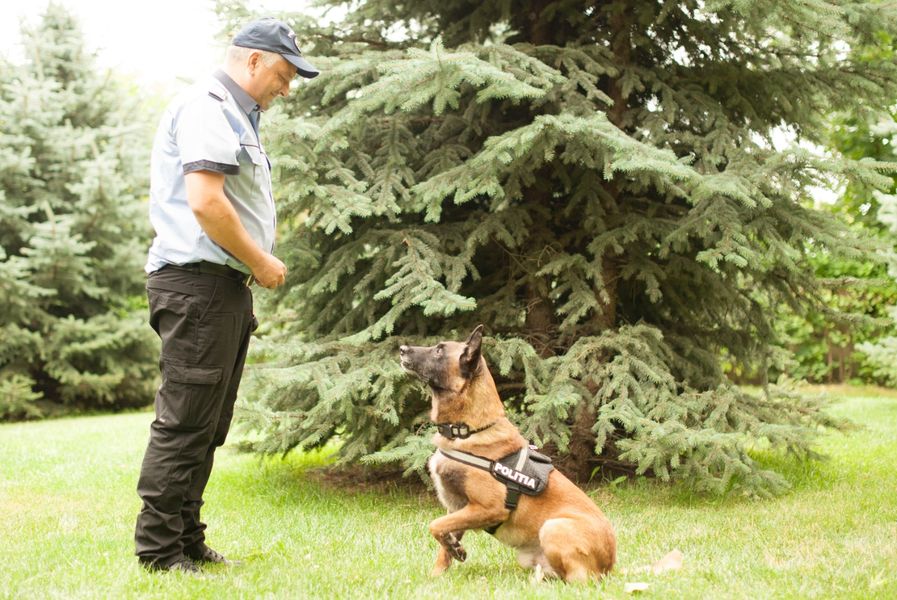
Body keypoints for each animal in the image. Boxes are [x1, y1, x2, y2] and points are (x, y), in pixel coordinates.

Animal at [399, 325, 616, 582]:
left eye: (439, 351)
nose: (401, 349)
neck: (468, 431)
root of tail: (610, 565)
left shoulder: (489, 507)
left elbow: (434, 525)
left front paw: (453, 548)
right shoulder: (457, 508)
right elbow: (443, 542)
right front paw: (438, 573)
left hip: (553, 527)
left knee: (578, 580)